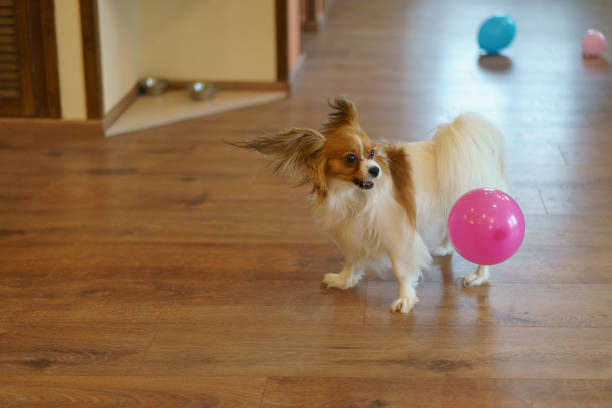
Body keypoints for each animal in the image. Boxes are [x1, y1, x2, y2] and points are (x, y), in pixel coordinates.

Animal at [237, 97, 510, 314]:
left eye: (371, 153)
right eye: (350, 158)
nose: (376, 170)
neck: (351, 194)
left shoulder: (397, 234)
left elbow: (401, 270)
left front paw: (405, 299)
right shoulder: (353, 232)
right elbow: (351, 260)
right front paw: (343, 280)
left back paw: (478, 277)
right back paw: (445, 247)